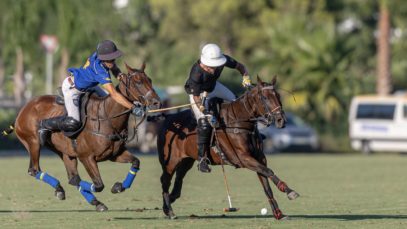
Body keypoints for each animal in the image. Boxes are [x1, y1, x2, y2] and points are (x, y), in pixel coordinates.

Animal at [11, 62, 161, 211]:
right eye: (138, 82)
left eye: (150, 80)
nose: (157, 102)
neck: (107, 118)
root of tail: (24, 109)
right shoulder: (86, 157)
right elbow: (99, 185)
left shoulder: (114, 154)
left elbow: (136, 162)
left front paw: (118, 187)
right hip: (33, 143)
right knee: (35, 170)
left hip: (64, 151)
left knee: (72, 176)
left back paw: (74, 194)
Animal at [157, 76, 300, 219]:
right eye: (264, 97)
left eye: (278, 95)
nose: (281, 121)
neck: (240, 122)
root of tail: (169, 117)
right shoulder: (242, 158)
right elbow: (269, 171)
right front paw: (290, 191)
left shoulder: (259, 158)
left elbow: (266, 183)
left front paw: (278, 213)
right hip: (170, 161)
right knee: (165, 180)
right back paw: (169, 210)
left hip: (187, 160)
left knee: (178, 179)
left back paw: (168, 203)